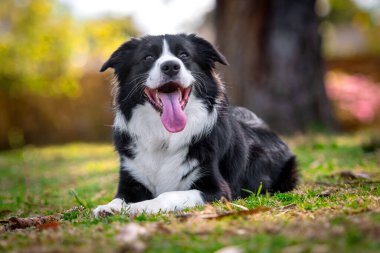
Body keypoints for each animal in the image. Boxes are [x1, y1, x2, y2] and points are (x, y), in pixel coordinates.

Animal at [93, 32, 296, 216]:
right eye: (148, 57)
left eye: (184, 55)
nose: (171, 66)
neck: (165, 136)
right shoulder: (130, 179)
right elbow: (119, 198)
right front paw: (109, 207)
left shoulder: (218, 190)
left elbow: (169, 194)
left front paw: (140, 206)